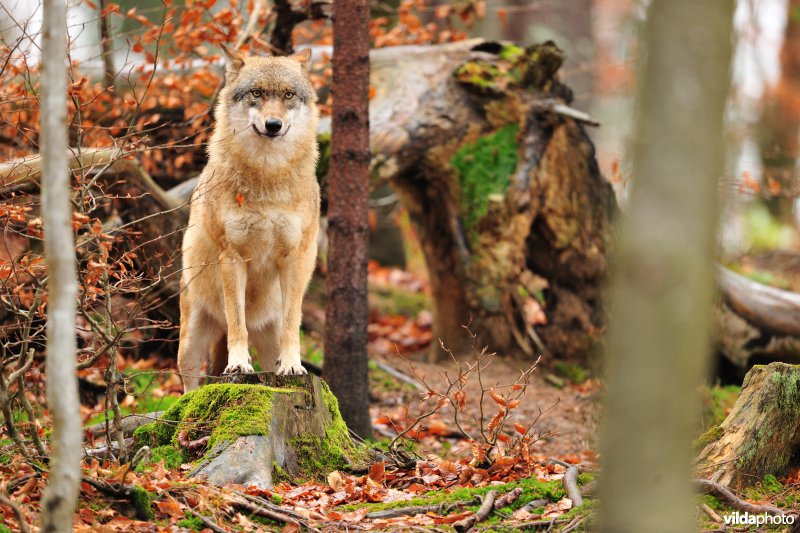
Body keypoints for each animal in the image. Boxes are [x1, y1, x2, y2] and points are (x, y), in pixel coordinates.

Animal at [177, 45, 319, 392]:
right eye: (257, 93)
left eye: (288, 95)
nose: (273, 124)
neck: (267, 175)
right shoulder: (232, 256)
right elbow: (236, 320)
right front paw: (239, 364)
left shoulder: (295, 257)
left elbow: (293, 324)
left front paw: (294, 365)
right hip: (190, 341)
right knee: (190, 385)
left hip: (268, 334)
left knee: (271, 353)